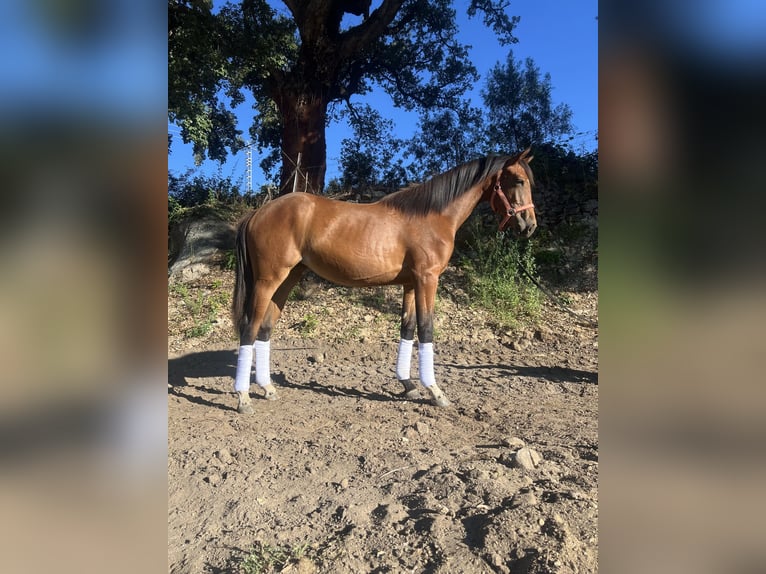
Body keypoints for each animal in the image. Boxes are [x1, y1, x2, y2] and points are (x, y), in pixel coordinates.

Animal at [231, 148, 537, 414]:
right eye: (518, 180)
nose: (529, 226)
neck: (431, 216)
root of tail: (257, 213)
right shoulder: (427, 280)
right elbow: (426, 329)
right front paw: (435, 391)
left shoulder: (411, 283)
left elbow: (407, 328)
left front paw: (408, 384)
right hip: (268, 281)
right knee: (249, 328)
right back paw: (243, 397)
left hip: (287, 279)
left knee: (265, 328)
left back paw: (268, 388)